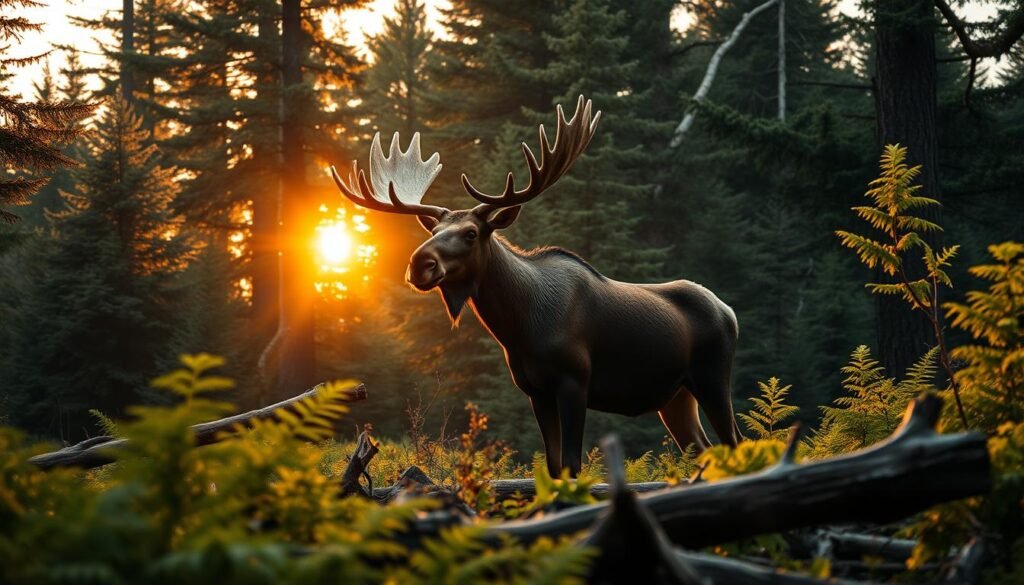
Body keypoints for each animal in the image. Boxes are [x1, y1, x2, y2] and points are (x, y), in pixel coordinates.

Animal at [330, 96, 743, 477]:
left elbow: (573, 464)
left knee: (736, 440)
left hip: (712, 377)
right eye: (433, 231)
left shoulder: (575, 381)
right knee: (706, 448)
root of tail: (730, 312)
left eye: (471, 233)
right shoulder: (535, 391)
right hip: (675, 397)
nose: (419, 264)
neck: (519, 327)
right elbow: (553, 464)